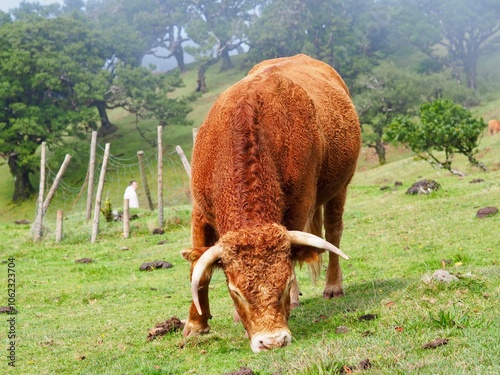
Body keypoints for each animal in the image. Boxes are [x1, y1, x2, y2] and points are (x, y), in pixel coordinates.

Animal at [182, 54, 362, 354]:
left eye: (285, 282)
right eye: (235, 291)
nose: (273, 341)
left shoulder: (299, 206)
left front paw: (293, 299)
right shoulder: (200, 212)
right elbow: (200, 270)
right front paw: (196, 325)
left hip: (340, 186)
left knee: (334, 230)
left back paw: (332, 286)